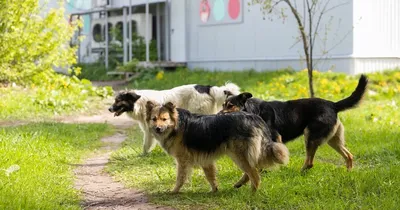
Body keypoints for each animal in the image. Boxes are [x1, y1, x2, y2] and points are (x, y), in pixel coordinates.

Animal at [108, 83, 241, 153]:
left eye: (118, 101)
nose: (109, 109)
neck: (139, 102)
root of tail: (207, 87)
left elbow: (146, 145)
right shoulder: (150, 129)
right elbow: (147, 144)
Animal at [145, 101, 290, 193]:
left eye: (164, 119)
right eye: (154, 119)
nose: (158, 128)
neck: (176, 125)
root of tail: (254, 117)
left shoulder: (183, 160)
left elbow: (180, 178)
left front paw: (174, 191)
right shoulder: (205, 159)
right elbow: (211, 176)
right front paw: (215, 190)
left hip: (239, 155)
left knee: (254, 174)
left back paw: (253, 193)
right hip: (243, 155)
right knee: (254, 170)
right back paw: (239, 184)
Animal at [220, 74, 368, 171]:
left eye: (230, 106)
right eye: (223, 105)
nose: (218, 115)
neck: (252, 110)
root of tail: (333, 105)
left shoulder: (276, 138)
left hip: (310, 135)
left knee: (310, 162)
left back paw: (301, 171)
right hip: (332, 140)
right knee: (349, 155)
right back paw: (348, 172)